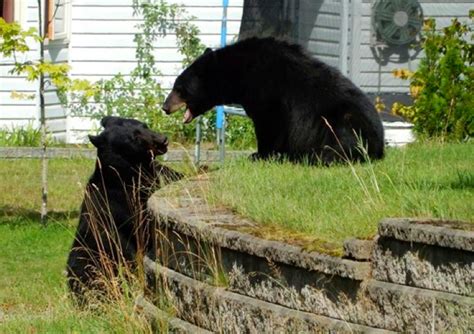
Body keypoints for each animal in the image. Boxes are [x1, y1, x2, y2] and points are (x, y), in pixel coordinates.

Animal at [163, 36, 386, 164]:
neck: (238, 73)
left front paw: (259, 154)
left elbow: (270, 122)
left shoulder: (267, 90)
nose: (165, 107)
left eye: (179, 88)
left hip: (344, 122)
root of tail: (379, 145)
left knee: (340, 145)